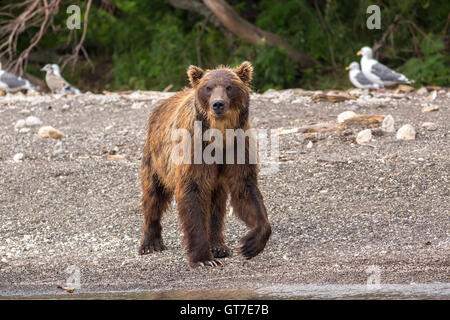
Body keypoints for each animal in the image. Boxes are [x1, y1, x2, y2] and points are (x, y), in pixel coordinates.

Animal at [138, 61, 270, 266]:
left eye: (229, 87)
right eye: (208, 88)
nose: (218, 104)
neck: (220, 134)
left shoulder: (238, 146)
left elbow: (245, 189)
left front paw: (249, 244)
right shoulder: (194, 149)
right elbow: (193, 192)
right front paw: (203, 259)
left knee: (216, 205)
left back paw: (218, 246)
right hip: (156, 158)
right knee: (153, 194)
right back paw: (150, 242)